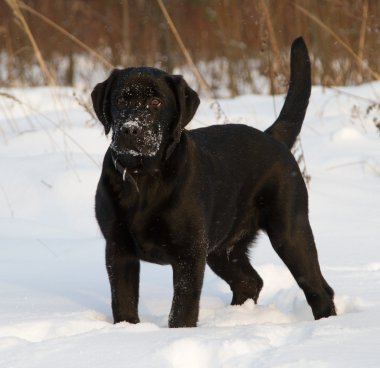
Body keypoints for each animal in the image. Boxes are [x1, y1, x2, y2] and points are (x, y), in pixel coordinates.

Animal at [92, 37, 336, 326]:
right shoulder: (118, 248)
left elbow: (182, 310)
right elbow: (124, 303)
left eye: (156, 102)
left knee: (317, 288)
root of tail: (272, 136)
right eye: (120, 99)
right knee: (249, 281)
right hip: (222, 248)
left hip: (289, 231)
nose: (130, 129)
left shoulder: (189, 254)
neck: (144, 178)